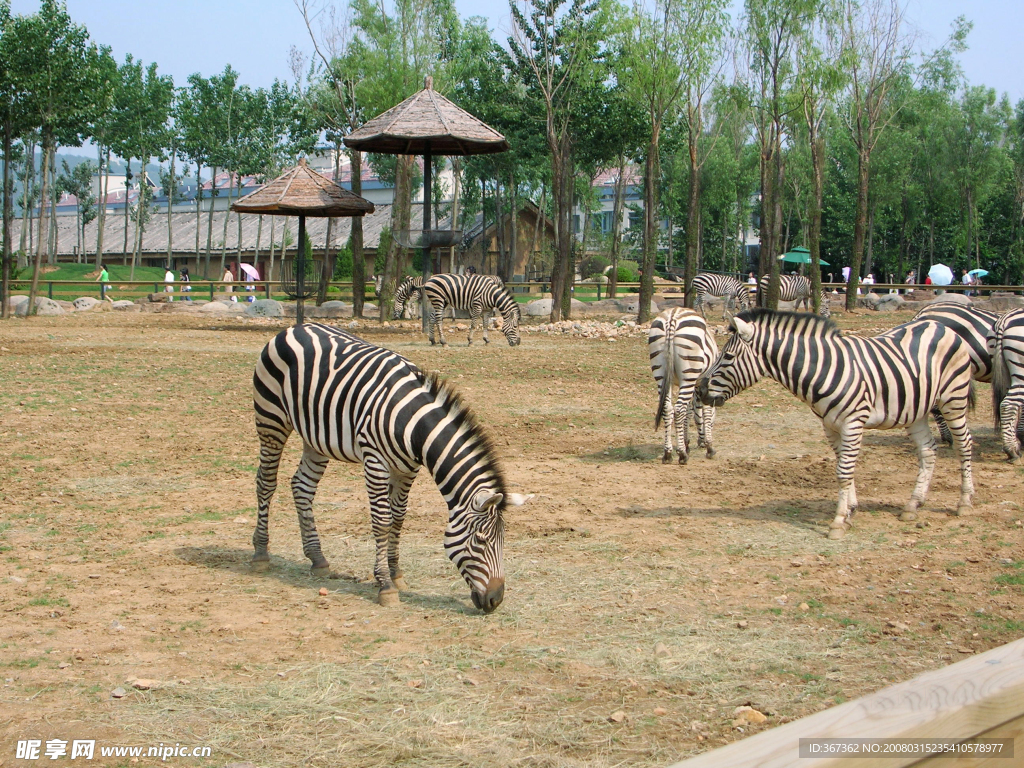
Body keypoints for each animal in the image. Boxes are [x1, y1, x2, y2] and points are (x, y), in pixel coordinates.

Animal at [251, 325, 532, 614]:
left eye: (503, 540)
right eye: (481, 540)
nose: (495, 600)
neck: (413, 424)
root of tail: (295, 328)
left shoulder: (407, 469)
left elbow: (398, 518)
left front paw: (396, 573)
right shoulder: (375, 460)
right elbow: (382, 521)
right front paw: (385, 585)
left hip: (316, 437)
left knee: (302, 487)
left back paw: (317, 558)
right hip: (271, 419)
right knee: (266, 482)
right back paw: (260, 554)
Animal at [651, 309, 716, 466]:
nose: (700, 444)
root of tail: (672, 316)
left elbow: (690, 411)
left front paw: (686, 443)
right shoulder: (704, 381)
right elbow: (704, 412)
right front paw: (709, 447)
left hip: (660, 372)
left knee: (667, 408)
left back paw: (667, 454)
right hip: (689, 371)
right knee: (679, 409)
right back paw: (682, 455)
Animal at [696, 309, 974, 540]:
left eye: (728, 356)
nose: (699, 389)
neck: (822, 369)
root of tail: (938, 324)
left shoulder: (853, 422)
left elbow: (844, 471)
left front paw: (839, 521)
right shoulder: (830, 426)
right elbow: (843, 467)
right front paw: (850, 510)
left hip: (954, 398)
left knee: (964, 445)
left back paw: (964, 502)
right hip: (915, 411)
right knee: (928, 450)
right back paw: (913, 505)